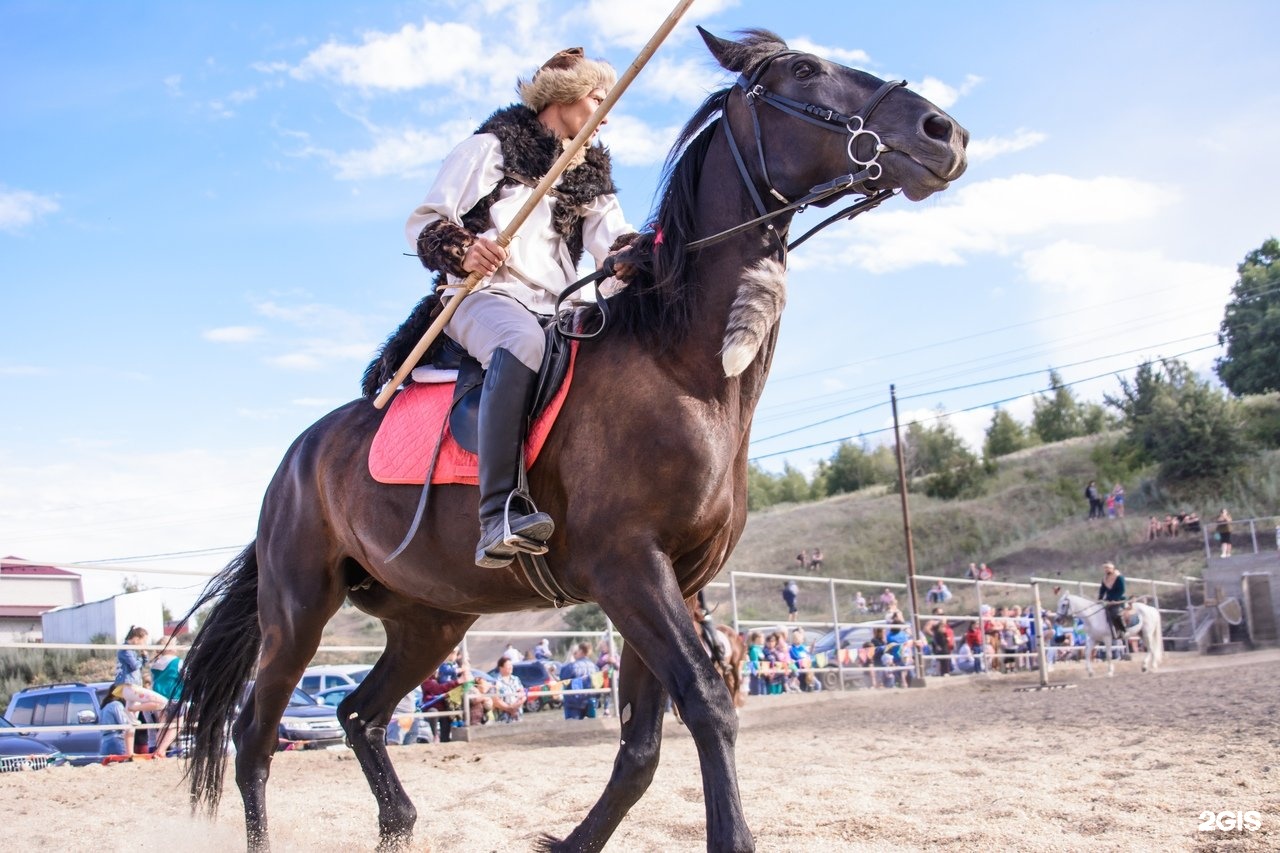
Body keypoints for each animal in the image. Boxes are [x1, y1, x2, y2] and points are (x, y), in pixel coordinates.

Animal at [175, 28, 962, 850]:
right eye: (806, 70)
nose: (944, 132)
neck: (678, 365)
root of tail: (297, 458)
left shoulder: (672, 579)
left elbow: (643, 743)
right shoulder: (628, 569)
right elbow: (707, 703)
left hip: (430, 617)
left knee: (360, 714)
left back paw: (398, 822)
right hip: (297, 610)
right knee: (254, 738)